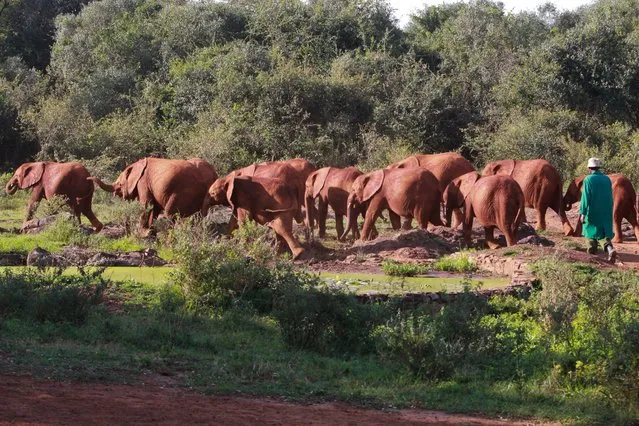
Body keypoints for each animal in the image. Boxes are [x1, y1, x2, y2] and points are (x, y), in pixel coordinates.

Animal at [90, 157, 218, 230]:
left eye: (120, 184)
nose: (89, 178)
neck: (136, 164)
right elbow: (154, 208)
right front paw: (149, 231)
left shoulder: (143, 182)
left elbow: (146, 205)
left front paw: (141, 231)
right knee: (199, 216)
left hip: (183, 192)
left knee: (171, 214)